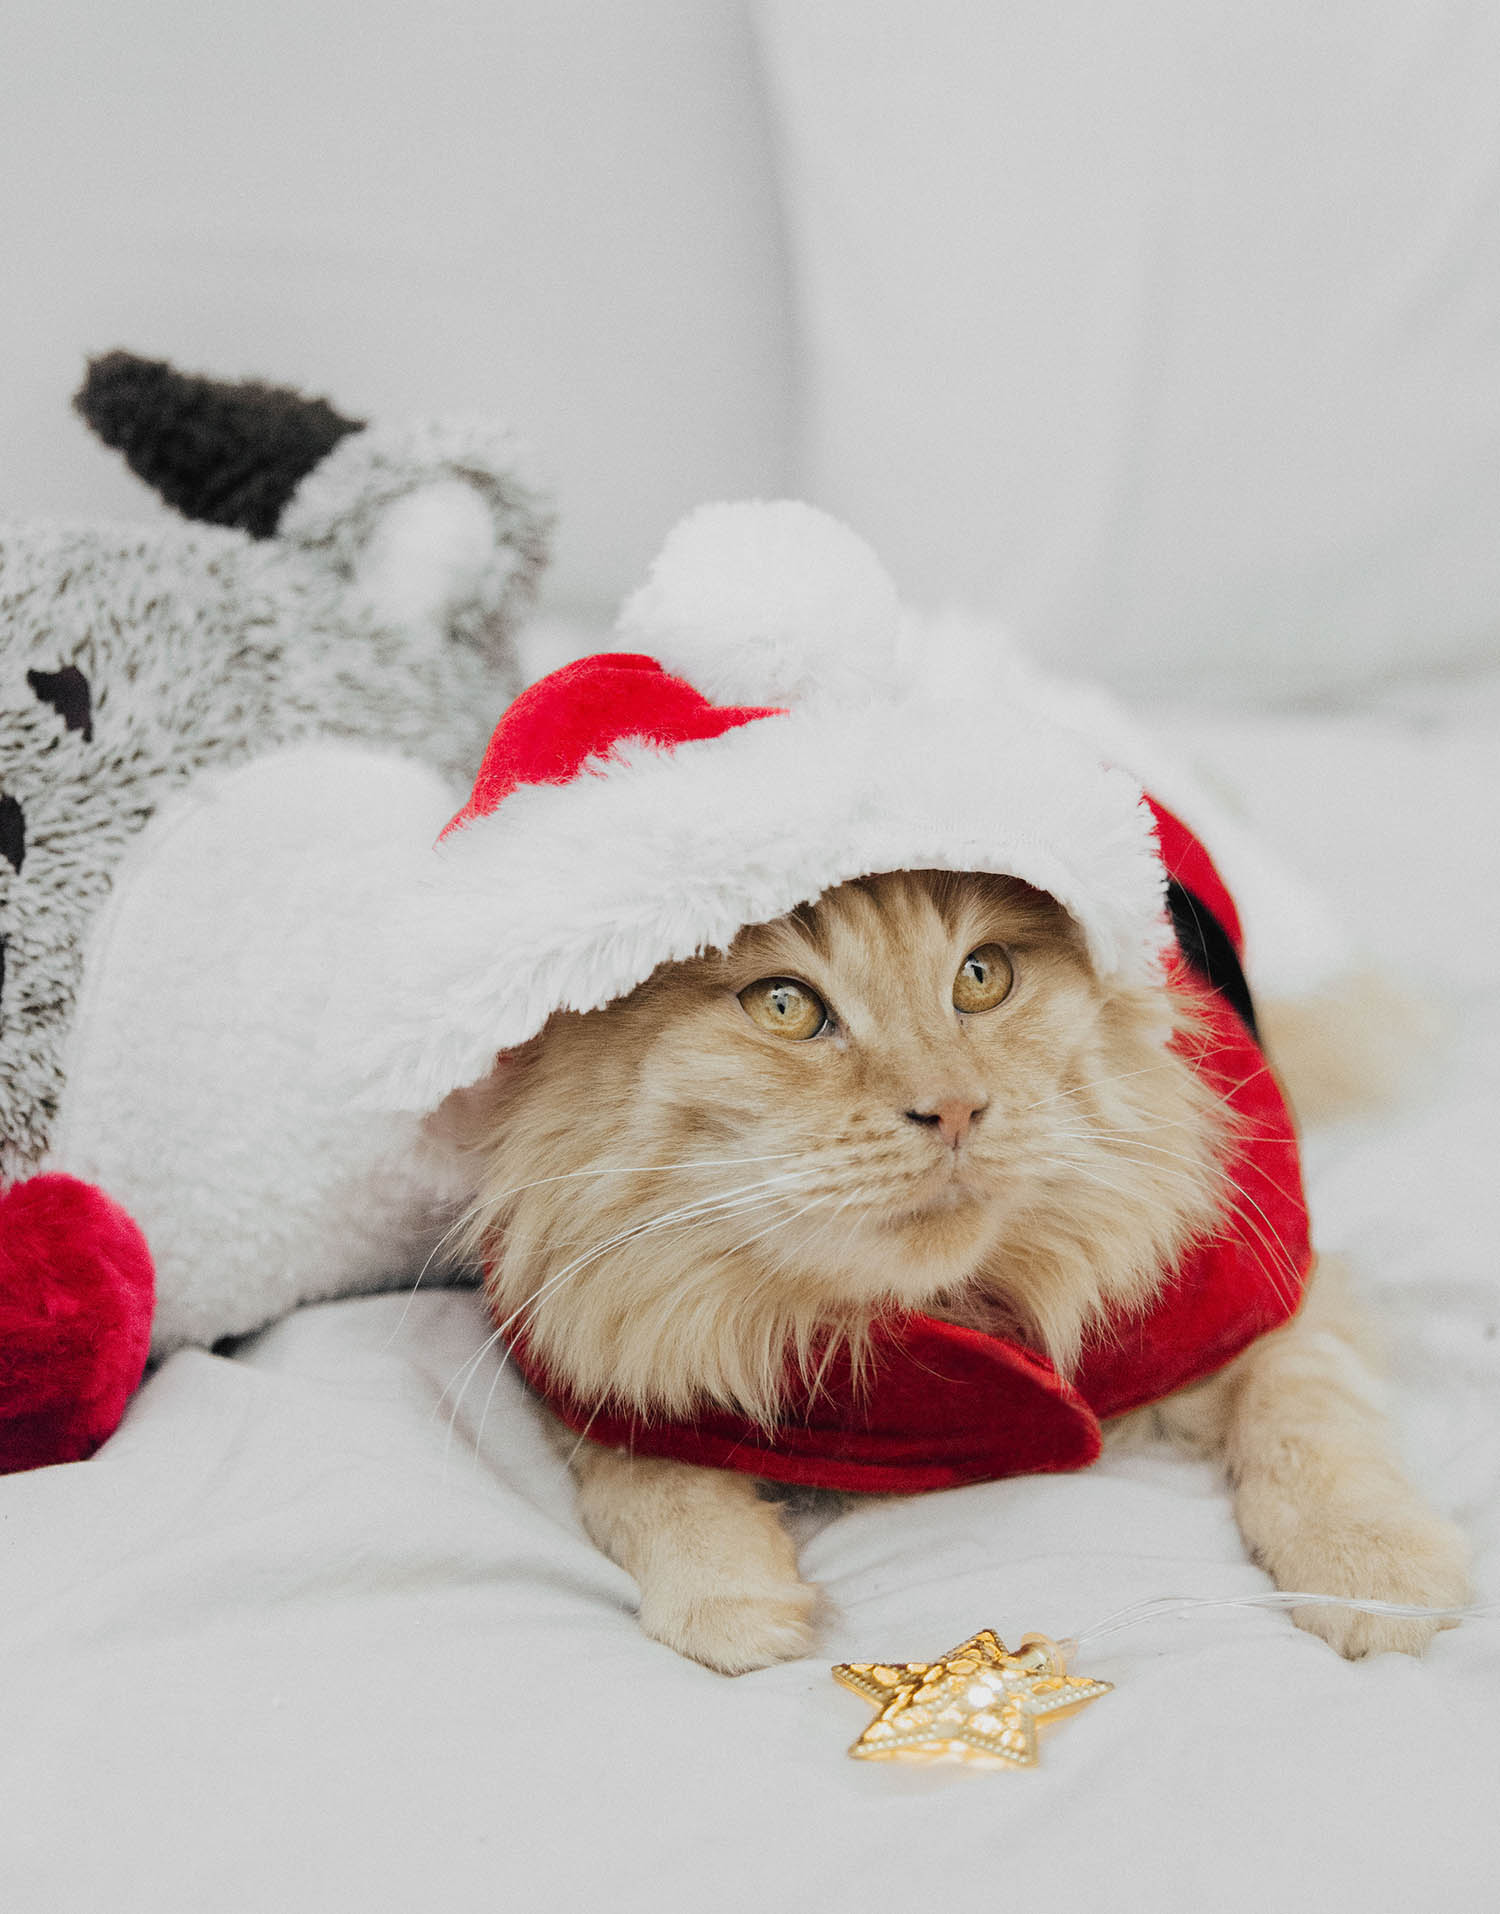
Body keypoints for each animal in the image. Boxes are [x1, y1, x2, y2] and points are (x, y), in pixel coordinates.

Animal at [453, 872, 1461, 1676]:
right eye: (783, 1006)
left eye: (982, 978)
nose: (953, 1110)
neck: (951, 1316)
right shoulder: (583, 1344)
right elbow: (651, 1479)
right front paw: (732, 1605)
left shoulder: (1269, 1298)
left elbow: (1309, 1428)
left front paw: (1378, 1579)